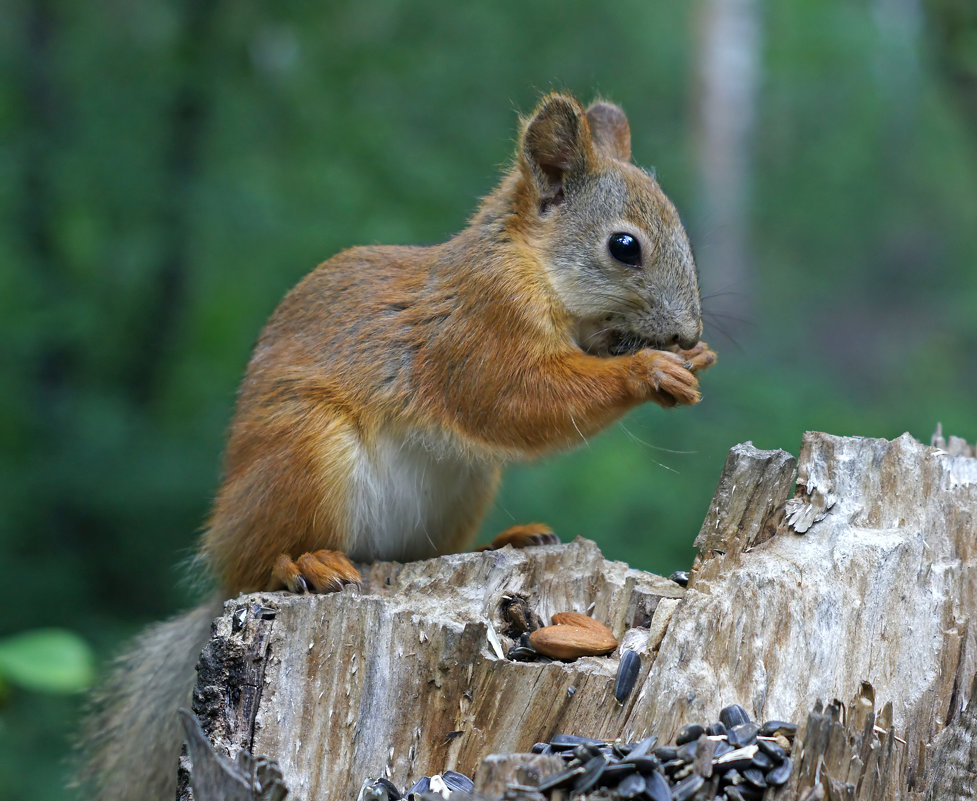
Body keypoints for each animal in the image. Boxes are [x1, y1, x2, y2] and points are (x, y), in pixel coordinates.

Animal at [80, 94, 712, 800]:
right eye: (624, 247)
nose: (689, 333)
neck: (531, 266)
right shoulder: (473, 333)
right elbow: (518, 400)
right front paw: (649, 372)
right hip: (306, 448)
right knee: (258, 561)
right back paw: (302, 565)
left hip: (464, 483)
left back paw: (505, 541)